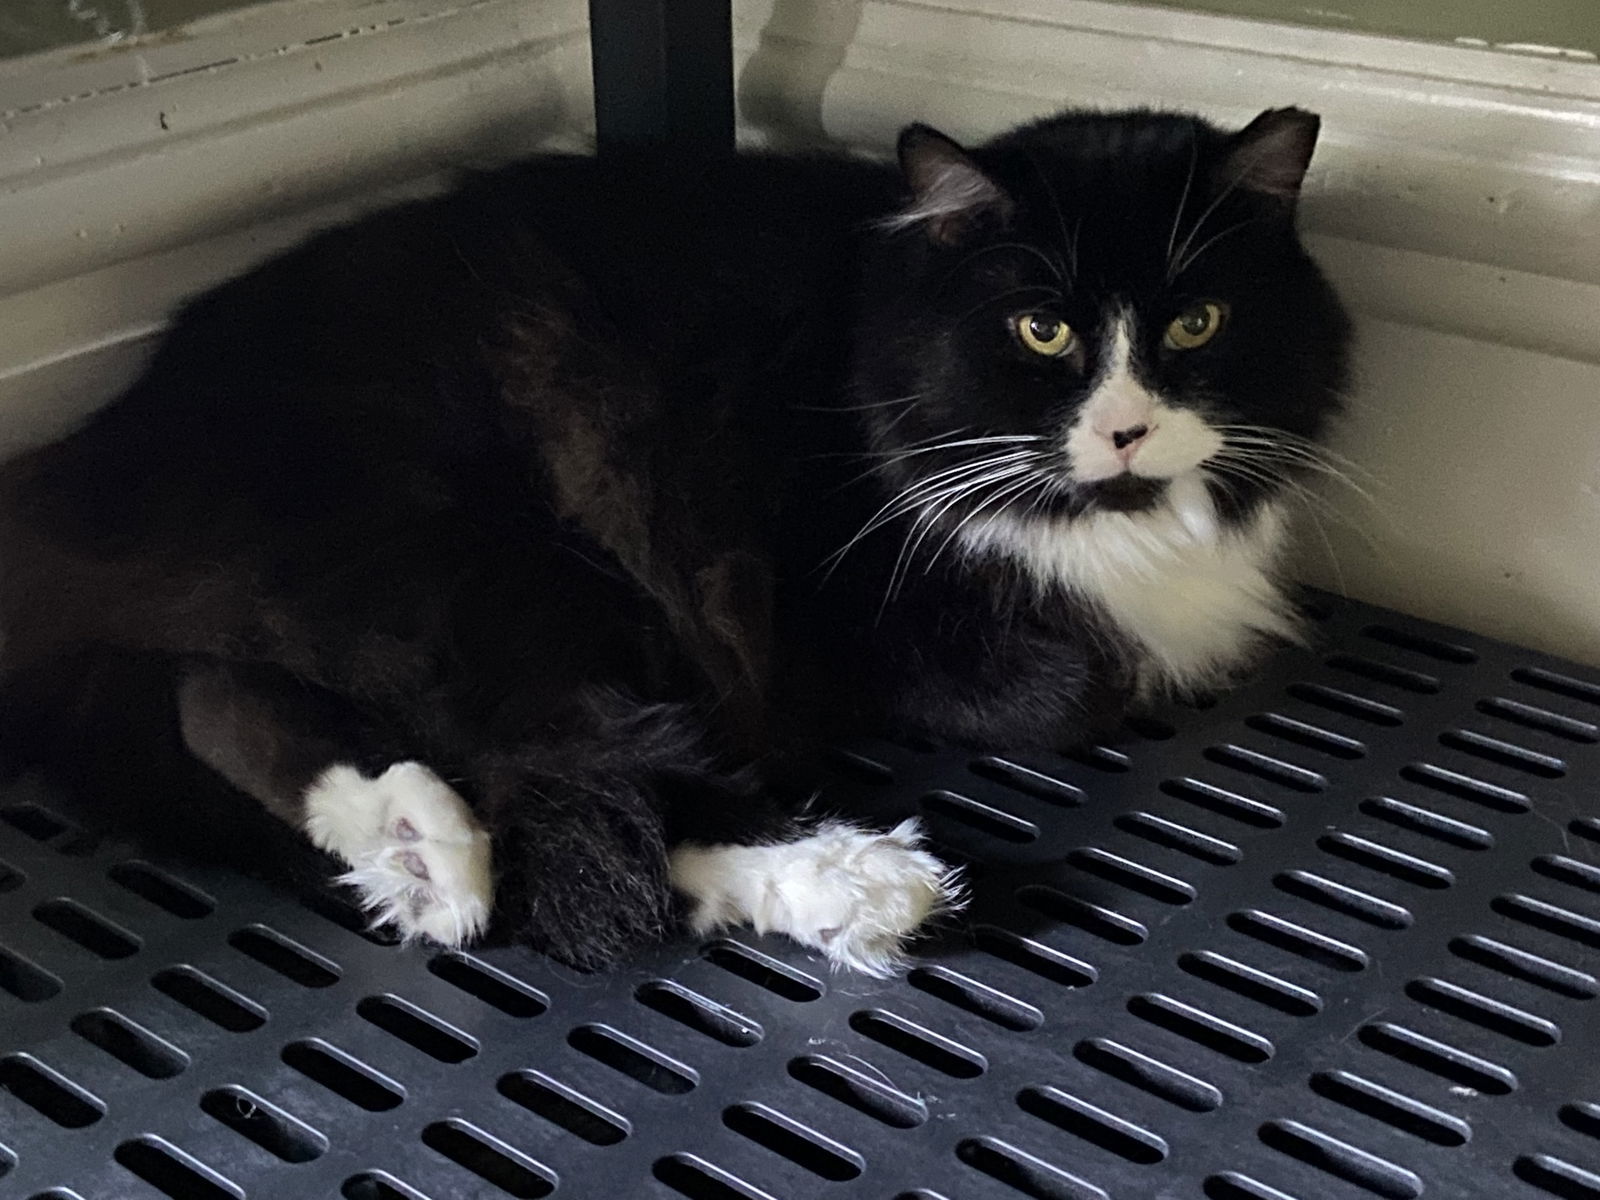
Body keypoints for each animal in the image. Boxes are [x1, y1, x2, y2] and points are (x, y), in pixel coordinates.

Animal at [0, 108, 1350, 979]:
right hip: (516, 573)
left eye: (1196, 322)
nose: (1126, 431)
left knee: (229, 705)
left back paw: (422, 860)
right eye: (1041, 331)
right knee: (584, 776)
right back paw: (864, 880)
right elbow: (1088, 679)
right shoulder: (838, 605)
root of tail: (88, 464)